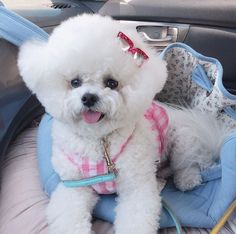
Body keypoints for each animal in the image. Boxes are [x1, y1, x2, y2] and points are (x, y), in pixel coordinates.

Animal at [17, 13, 230, 233]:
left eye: (112, 83)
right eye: (75, 82)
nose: (89, 97)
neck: (100, 141)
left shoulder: (136, 186)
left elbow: (136, 218)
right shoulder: (74, 186)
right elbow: (69, 217)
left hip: (182, 139)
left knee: (189, 163)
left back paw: (187, 179)